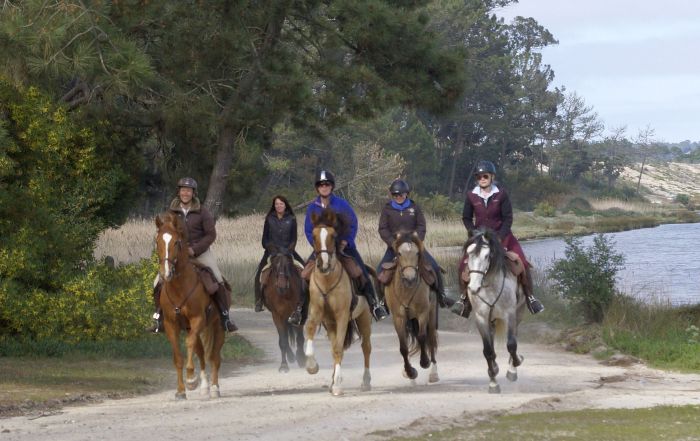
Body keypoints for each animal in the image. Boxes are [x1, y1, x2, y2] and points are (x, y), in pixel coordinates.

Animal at [154, 211, 224, 398]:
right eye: (157, 242)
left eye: (176, 242)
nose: (165, 273)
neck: (179, 287)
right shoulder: (171, 324)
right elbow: (178, 357)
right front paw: (180, 391)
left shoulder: (197, 319)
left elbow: (189, 343)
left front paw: (191, 379)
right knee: (202, 354)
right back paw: (205, 387)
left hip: (217, 327)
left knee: (214, 356)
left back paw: (214, 388)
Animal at [304, 208, 374, 398]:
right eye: (314, 236)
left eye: (333, 235)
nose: (323, 264)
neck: (328, 279)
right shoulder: (318, 313)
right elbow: (311, 331)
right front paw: (312, 366)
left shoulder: (342, 316)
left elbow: (337, 349)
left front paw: (337, 386)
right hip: (331, 324)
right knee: (337, 347)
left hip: (364, 318)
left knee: (366, 347)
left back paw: (365, 381)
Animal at [382, 232, 438, 384]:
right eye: (399, 253)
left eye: (417, 253)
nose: (410, 279)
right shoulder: (399, 318)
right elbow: (403, 347)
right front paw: (410, 372)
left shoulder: (422, 313)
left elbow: (422, 337)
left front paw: (424, 362)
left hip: (431, 314)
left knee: (431, 339)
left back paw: (433, 373)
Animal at [460, 227, 524, 392]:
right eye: (468, 255)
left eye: (487, 256)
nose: (474, 288)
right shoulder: (481, 319)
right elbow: (488, 351)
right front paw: (493, 380)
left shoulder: (510, 314)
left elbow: (511, 344)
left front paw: (515, 365)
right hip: (492, 320)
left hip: (518, 313)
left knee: (515, 337)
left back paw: (512, 368)